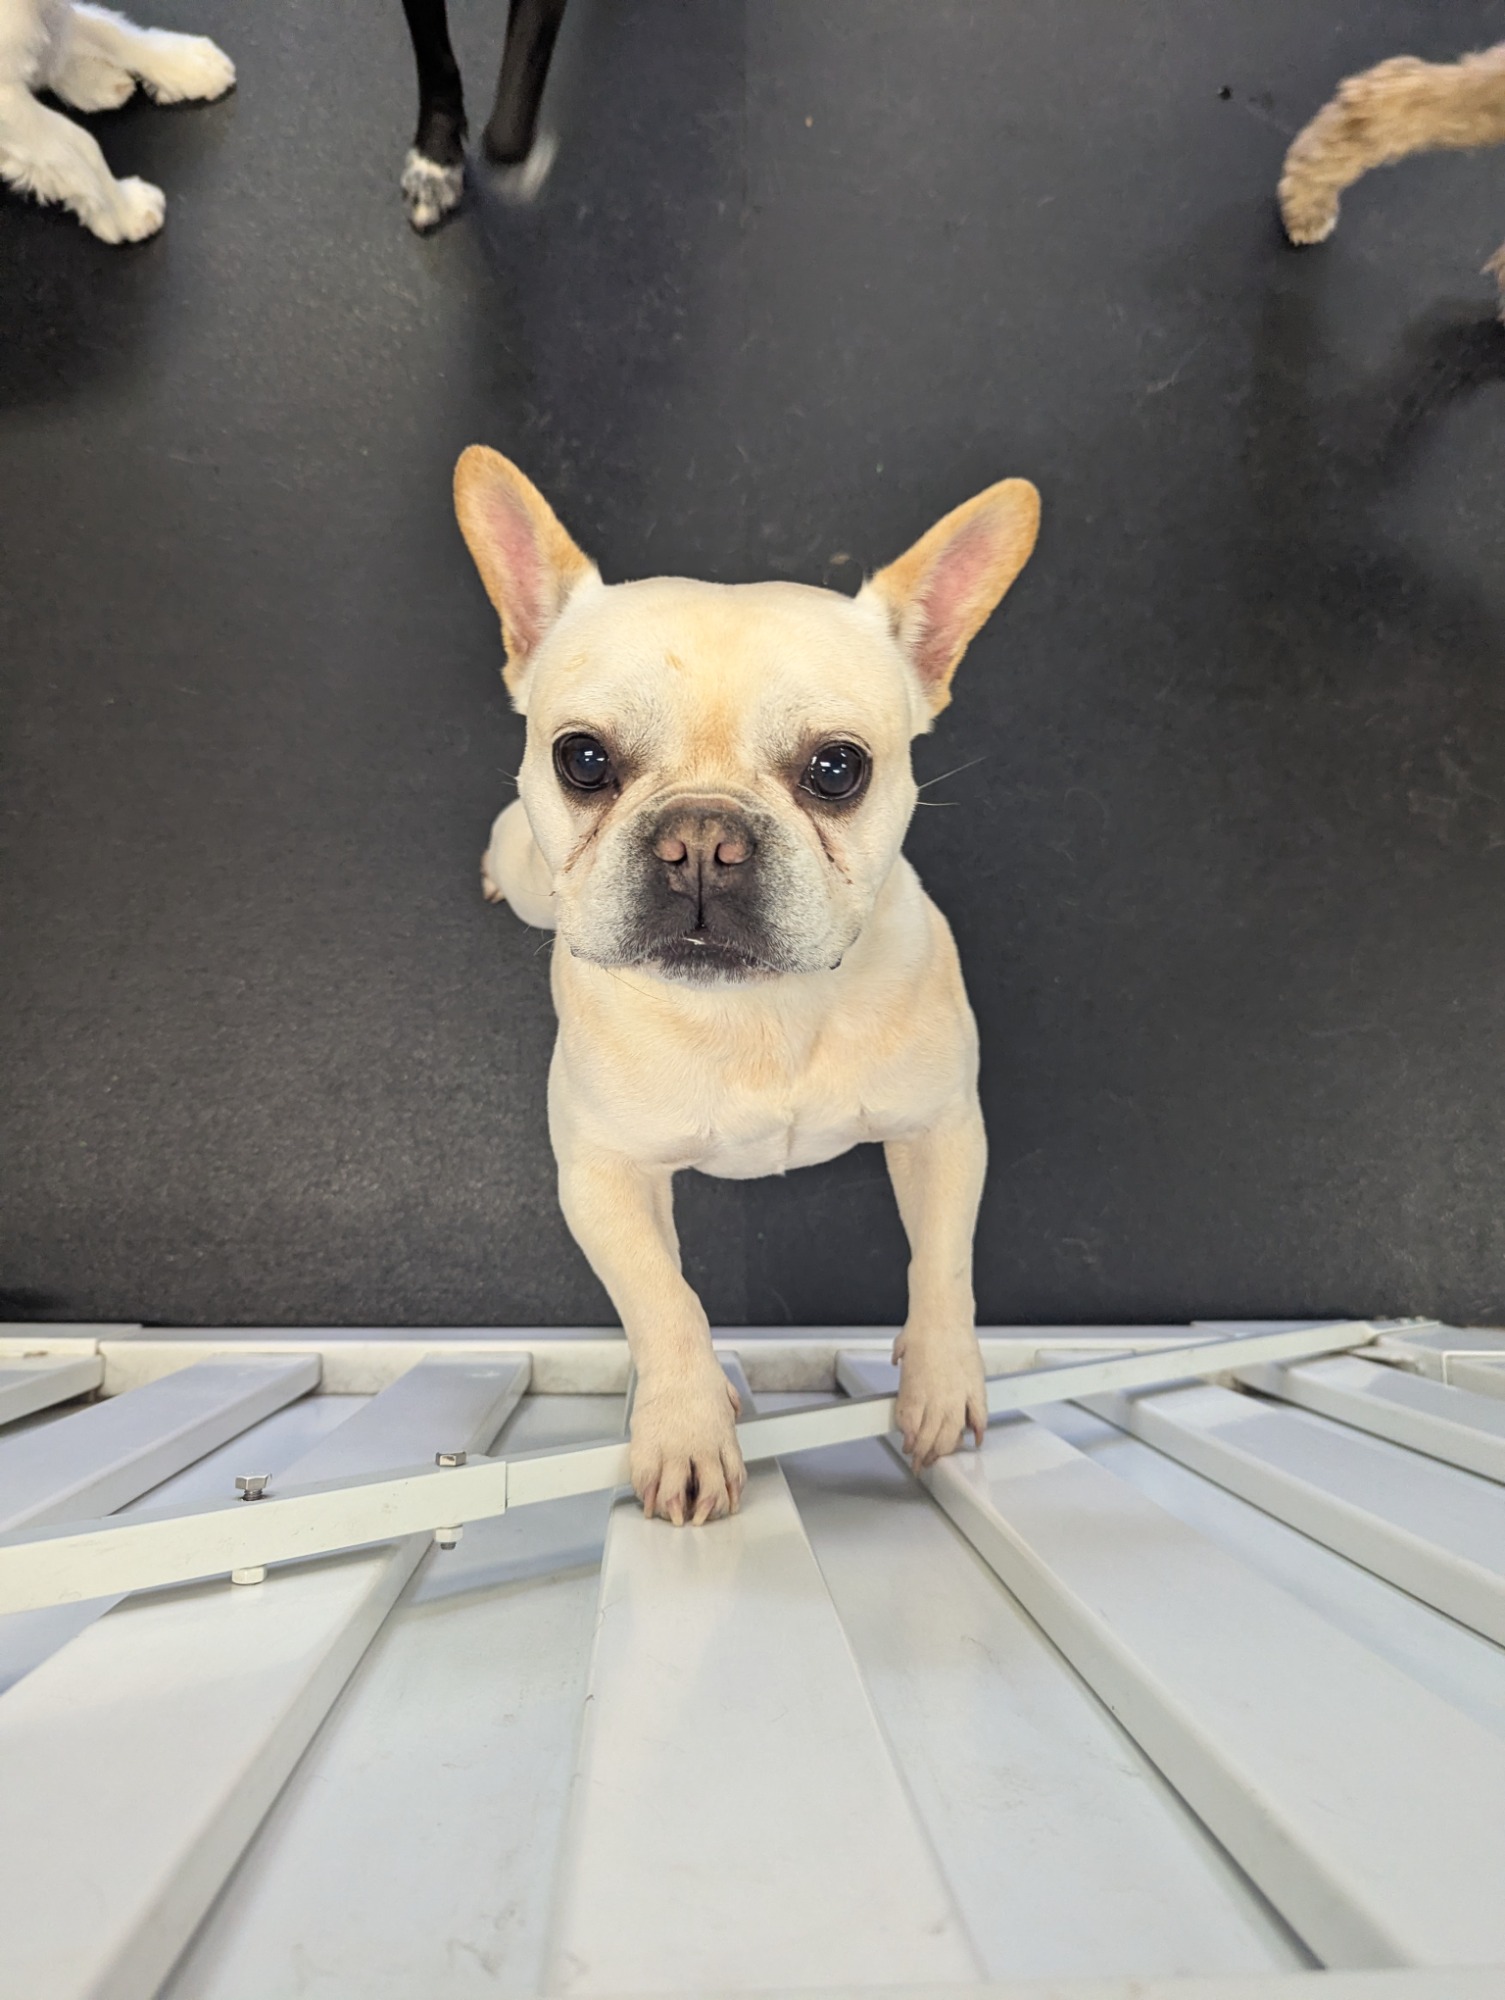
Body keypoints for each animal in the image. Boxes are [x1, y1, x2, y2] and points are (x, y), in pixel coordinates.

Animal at [454, 448, 1040, 1525]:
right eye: (581, 758)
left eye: (838, 769)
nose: (701, 838)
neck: (761, 1006)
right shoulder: (600, 1175)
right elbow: (663, 1299)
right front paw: (687, 1425)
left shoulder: (943, 1129)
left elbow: (942, 1261)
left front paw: (943, 1381)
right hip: (524, 878)